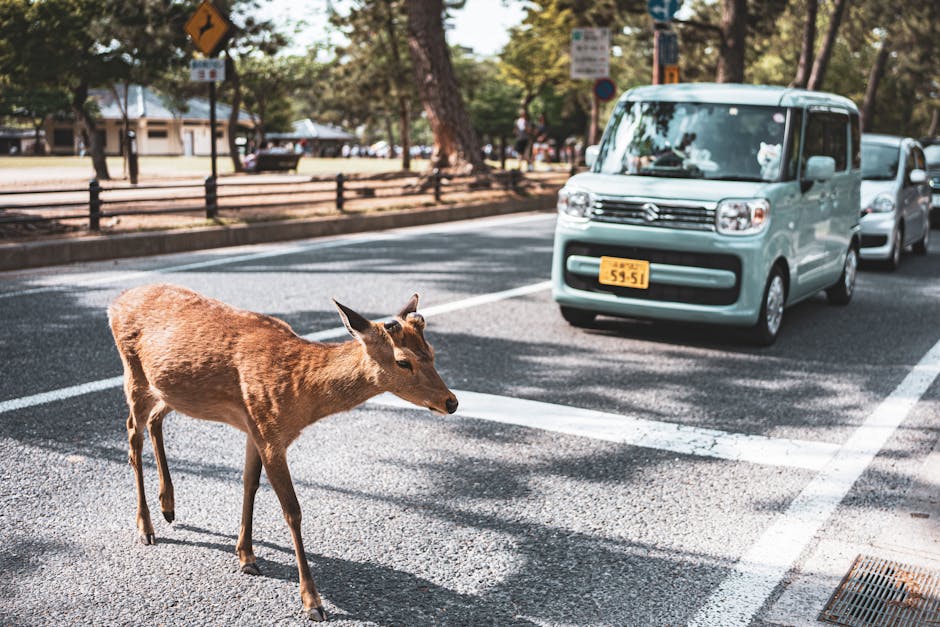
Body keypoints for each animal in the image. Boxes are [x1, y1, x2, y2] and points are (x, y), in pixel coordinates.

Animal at [107, 283, 458, 622]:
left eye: (432, 352)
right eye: (403, 361)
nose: (451, 402)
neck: (300, 394)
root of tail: (115, 302)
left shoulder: (255, 429)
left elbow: (249, 483)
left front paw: (246, 556)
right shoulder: (269, 432)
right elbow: (292, 511)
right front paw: (312, 602)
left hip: (169, 390)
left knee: (155, 419)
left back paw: (168, 506)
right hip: (134, 375)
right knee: (132, 434)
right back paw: (146, 527)